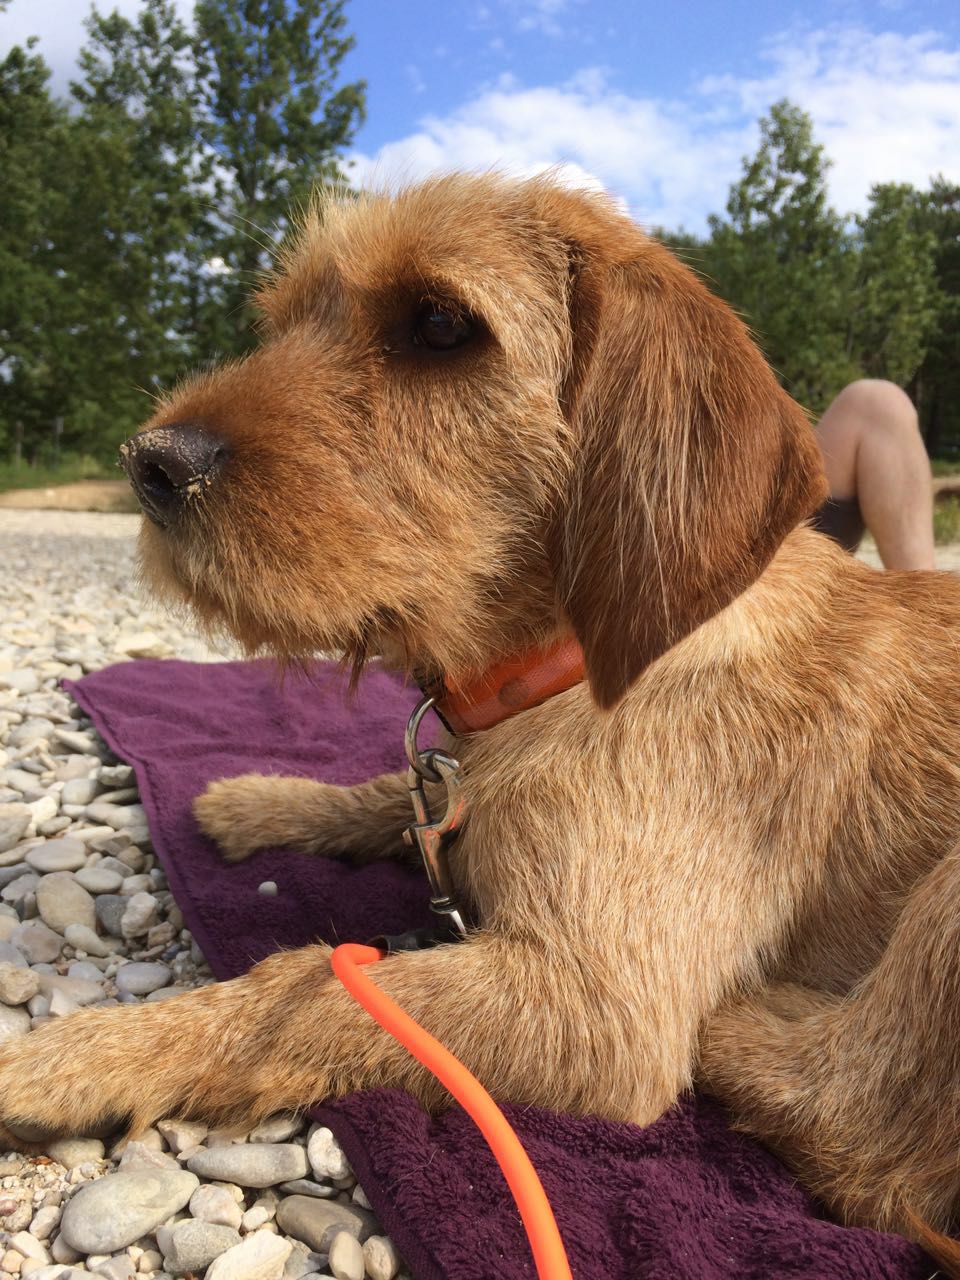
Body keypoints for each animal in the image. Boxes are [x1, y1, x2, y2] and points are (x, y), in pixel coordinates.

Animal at [2, 173, 960, 1270]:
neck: (575, 665)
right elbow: (395, 788)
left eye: (439, 324)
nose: (149, 463)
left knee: (850, 1131)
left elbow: (304, 984)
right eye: (283, 320)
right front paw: (260, 798)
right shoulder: (448, 789)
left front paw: (83, 1053)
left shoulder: (599, 1008)